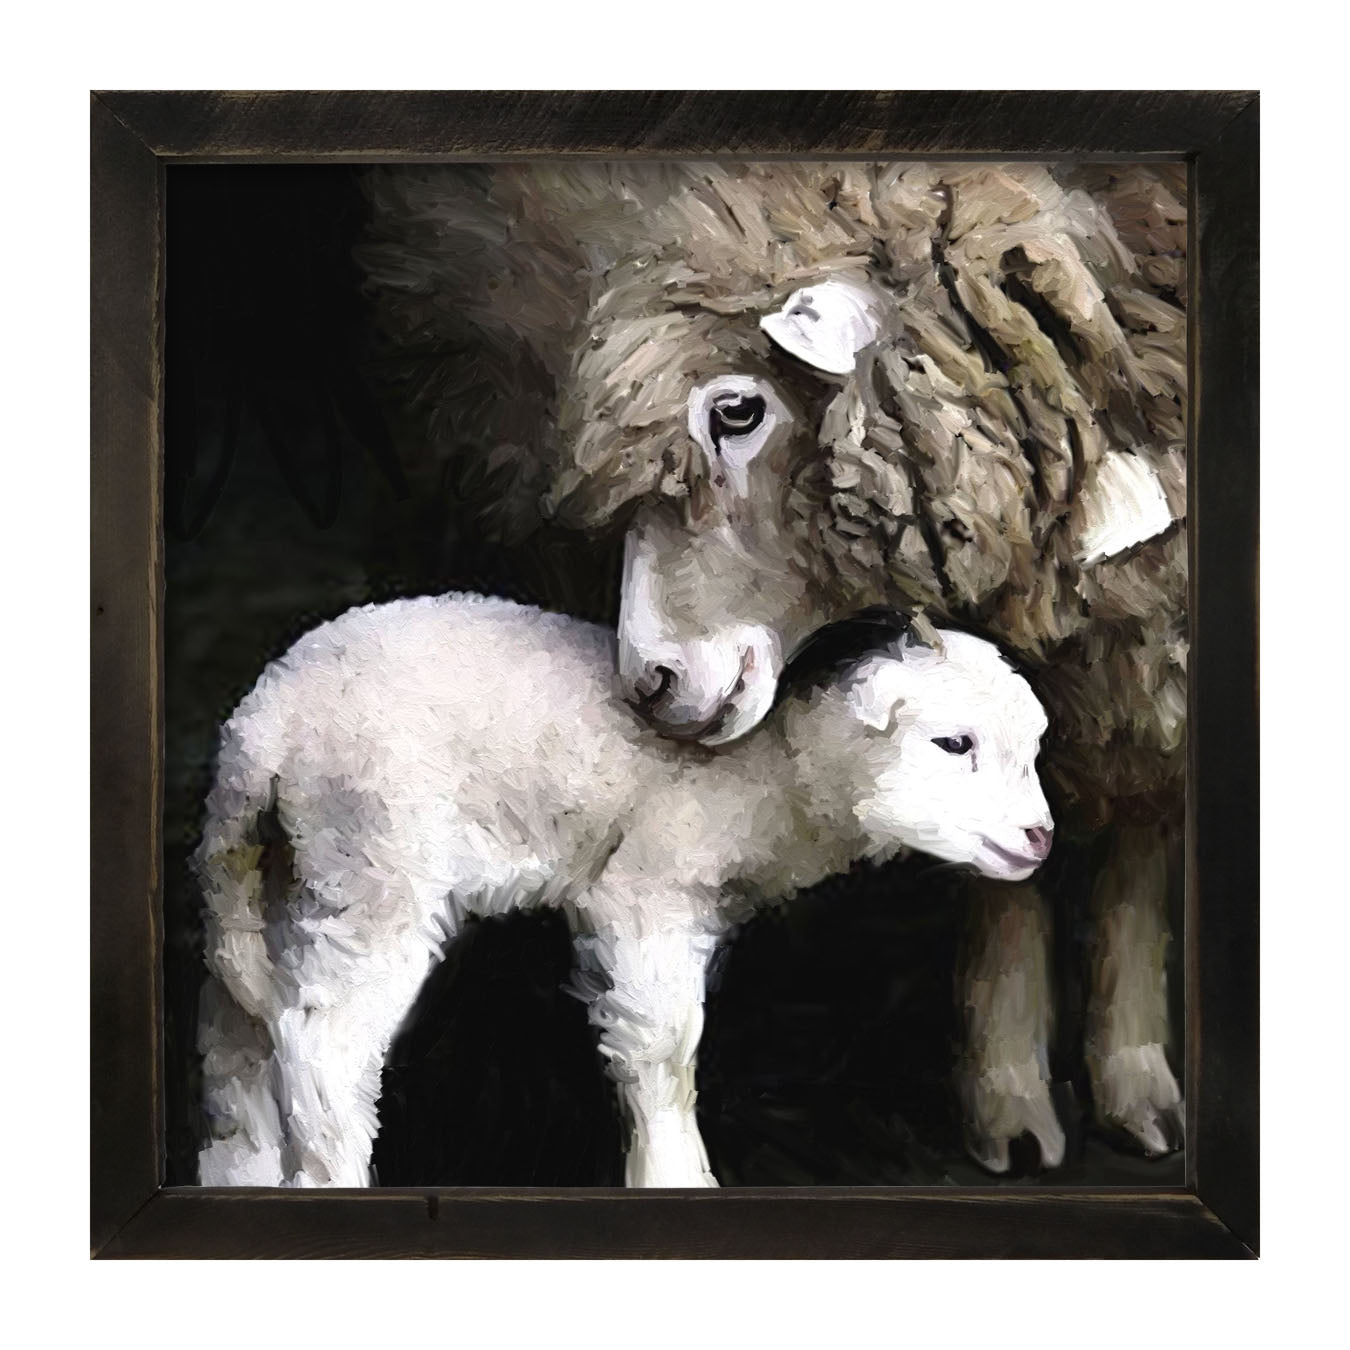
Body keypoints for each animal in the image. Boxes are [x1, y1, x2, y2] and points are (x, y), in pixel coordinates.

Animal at [195, 593, 1052, 1188]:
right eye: (953, 743)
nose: (1040, 838)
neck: (777, 773)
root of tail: (261, 727)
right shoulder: (647, 891)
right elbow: (665, 1048)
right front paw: (676, 1177)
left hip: (291, 873)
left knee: (243, 1035)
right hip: (378, 865)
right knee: (323, 1045)